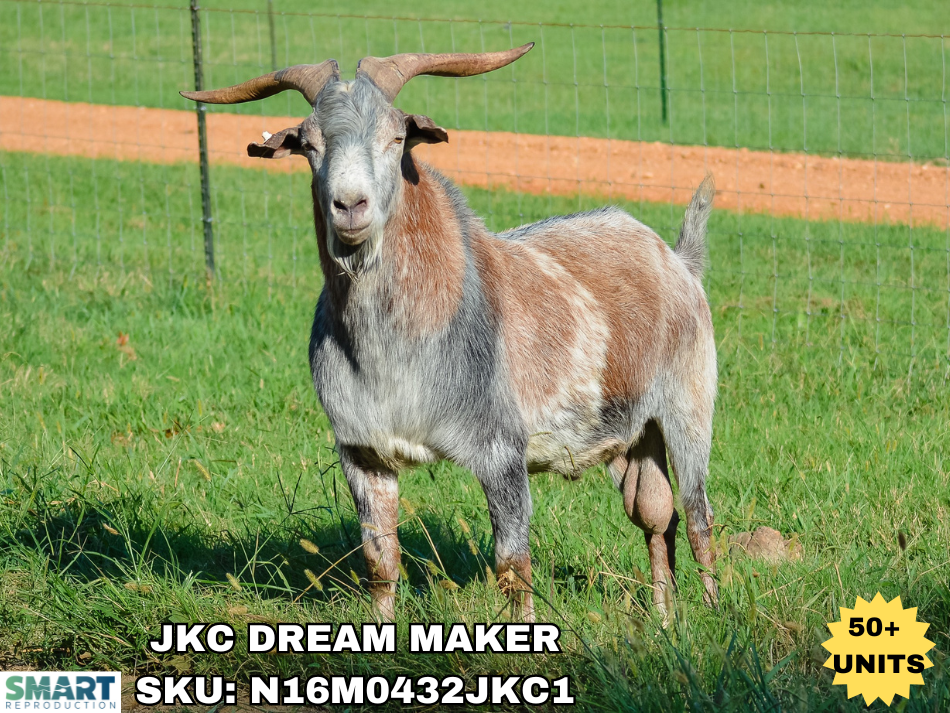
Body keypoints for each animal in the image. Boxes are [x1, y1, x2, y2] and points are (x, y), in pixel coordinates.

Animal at [182, 44, 718, 621]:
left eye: (396, 137)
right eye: (308, 143)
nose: (349, 206)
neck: (396, 351)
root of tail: (677, 260)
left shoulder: (501, 450)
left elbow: (513, 569)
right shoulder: (361, 451)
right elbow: (380, 562)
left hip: (688, 409)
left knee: (697, 518)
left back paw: (713, 613)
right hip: (630, 435)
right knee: (655, 516)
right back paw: (664, 620)